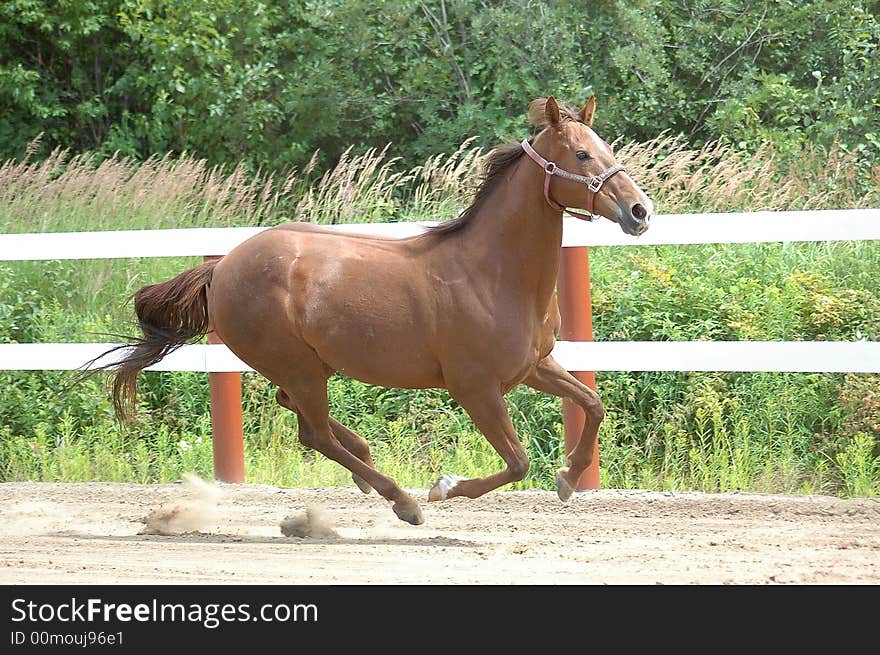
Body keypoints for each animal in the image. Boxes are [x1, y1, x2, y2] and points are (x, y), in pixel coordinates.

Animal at [98, 96, 652, 528]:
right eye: (581, 154)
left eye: (609, 149)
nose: (640, 211)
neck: (492, 273)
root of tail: (221, 267)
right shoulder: (475, 387)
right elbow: (517, 463)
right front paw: (442, 487)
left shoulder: (534, 366)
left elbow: (593, 405)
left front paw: (569, 478)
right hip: (296, 363)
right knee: (313, 431)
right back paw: (402, 500)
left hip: (306, 365)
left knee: (294, 409)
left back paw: (366, 466)